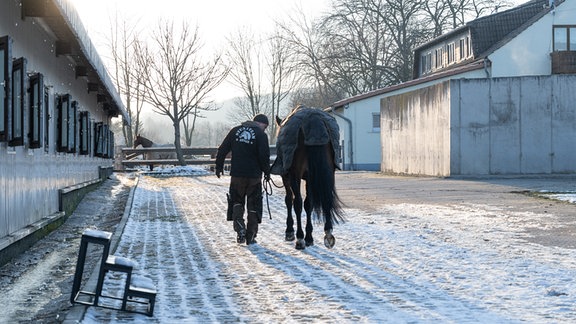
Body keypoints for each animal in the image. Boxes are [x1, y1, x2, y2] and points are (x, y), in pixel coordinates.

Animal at [272, 106, 344, 251]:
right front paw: (309, 237)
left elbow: (290, 200)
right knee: (324, 199)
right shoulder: (310, 178)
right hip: (327, 171)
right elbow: (309, 204)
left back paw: (299, 238)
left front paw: (290, 232)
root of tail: (315, 120)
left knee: (297, 203)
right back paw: (327, 233)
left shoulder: (287, 176)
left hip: (295, 174)